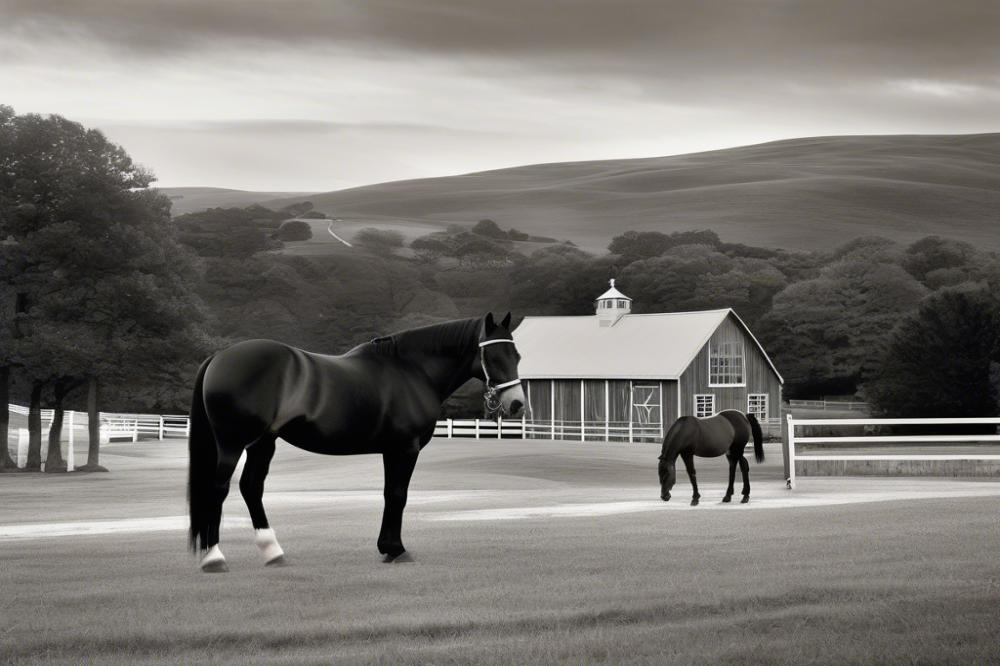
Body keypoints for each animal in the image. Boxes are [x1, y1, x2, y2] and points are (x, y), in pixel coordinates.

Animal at [188, 312, 524, 572]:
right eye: (494, 356)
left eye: (517, 356)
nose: (517, 404)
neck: (411, 370)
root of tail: (219, 357)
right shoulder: (406, 448)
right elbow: (398, 495)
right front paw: (396, 549)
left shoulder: (392, 450)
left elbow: (390, 495)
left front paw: (387, 548)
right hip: (232, 444)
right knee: (218, 489)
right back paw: (214, 558)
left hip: (262, 442)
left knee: (251, 487)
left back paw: (273, 552)